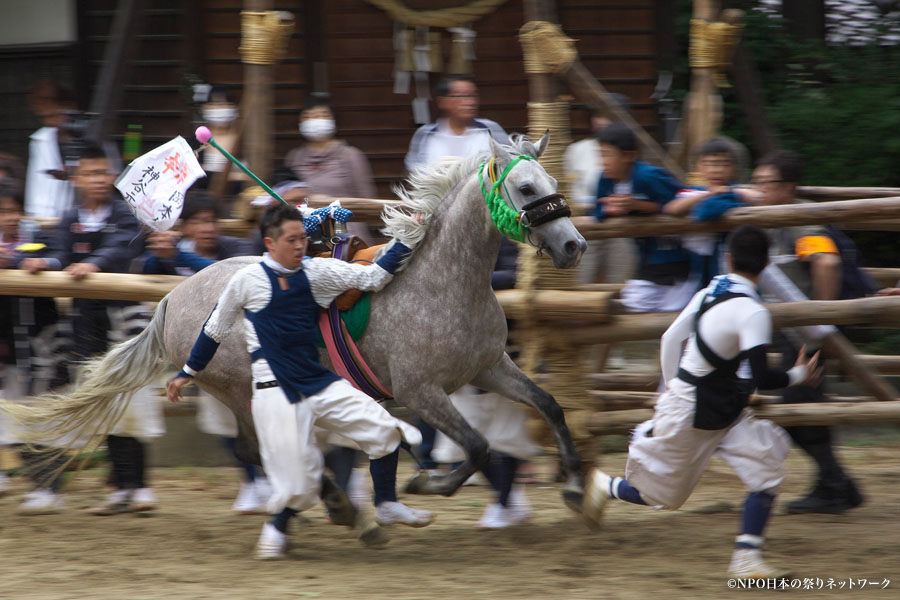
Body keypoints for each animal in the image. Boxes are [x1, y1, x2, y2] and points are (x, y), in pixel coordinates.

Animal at [5, 135, 592, 510]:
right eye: (525, 189)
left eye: (552, 179)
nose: (574, 245)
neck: (442, 283)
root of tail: (173, 296)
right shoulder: (421, 390)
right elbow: (475, 446)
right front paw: (428, 486)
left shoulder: (488, 367)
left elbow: (549, 406)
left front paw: (574, 487)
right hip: (239, 388)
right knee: (255, 449)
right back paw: (329, 500)